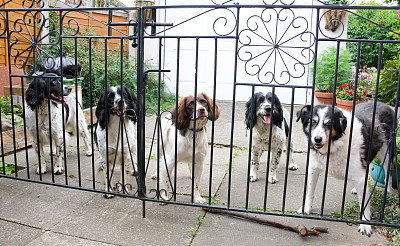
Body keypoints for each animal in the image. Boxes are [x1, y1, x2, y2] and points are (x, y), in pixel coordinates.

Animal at [296, 102, 396, 236]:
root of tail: (385, 105)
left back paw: (389, 193)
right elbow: (310, 192)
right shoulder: (313, 168)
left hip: (387, 152)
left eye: (329, 123)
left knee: (388, 174)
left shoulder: (359, 175)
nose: (317, 139)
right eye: (312, 122)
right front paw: (306, 209)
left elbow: (364, 203)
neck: (335, 143)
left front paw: (365, 224)